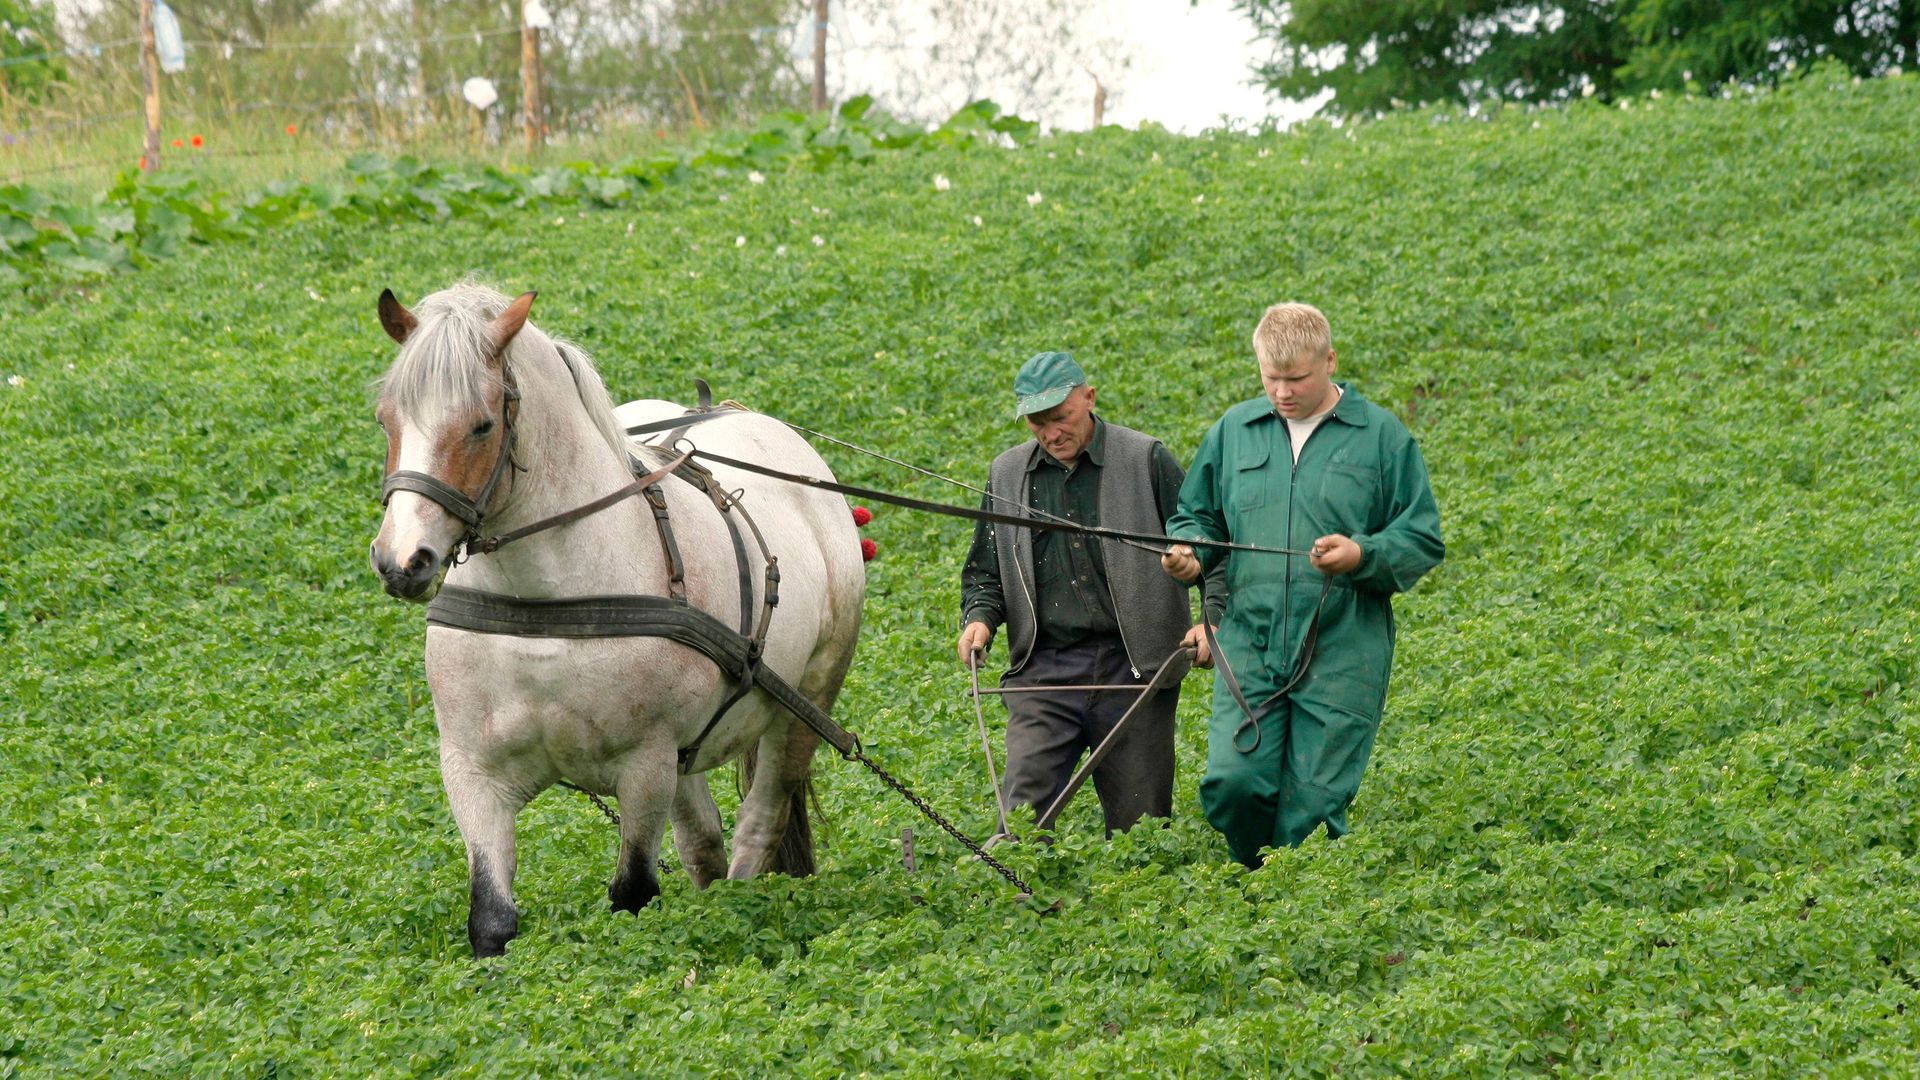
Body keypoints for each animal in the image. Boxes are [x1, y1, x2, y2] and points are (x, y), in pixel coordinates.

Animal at [366, 282, 864, 953]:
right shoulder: (473, 771)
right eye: (386, 418)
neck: (546, 609)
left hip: (801, 708)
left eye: (481, 425)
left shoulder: (644, 765)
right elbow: (491, 917)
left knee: (758, 826)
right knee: (703, 844)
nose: (402, 561)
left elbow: (633, 894)